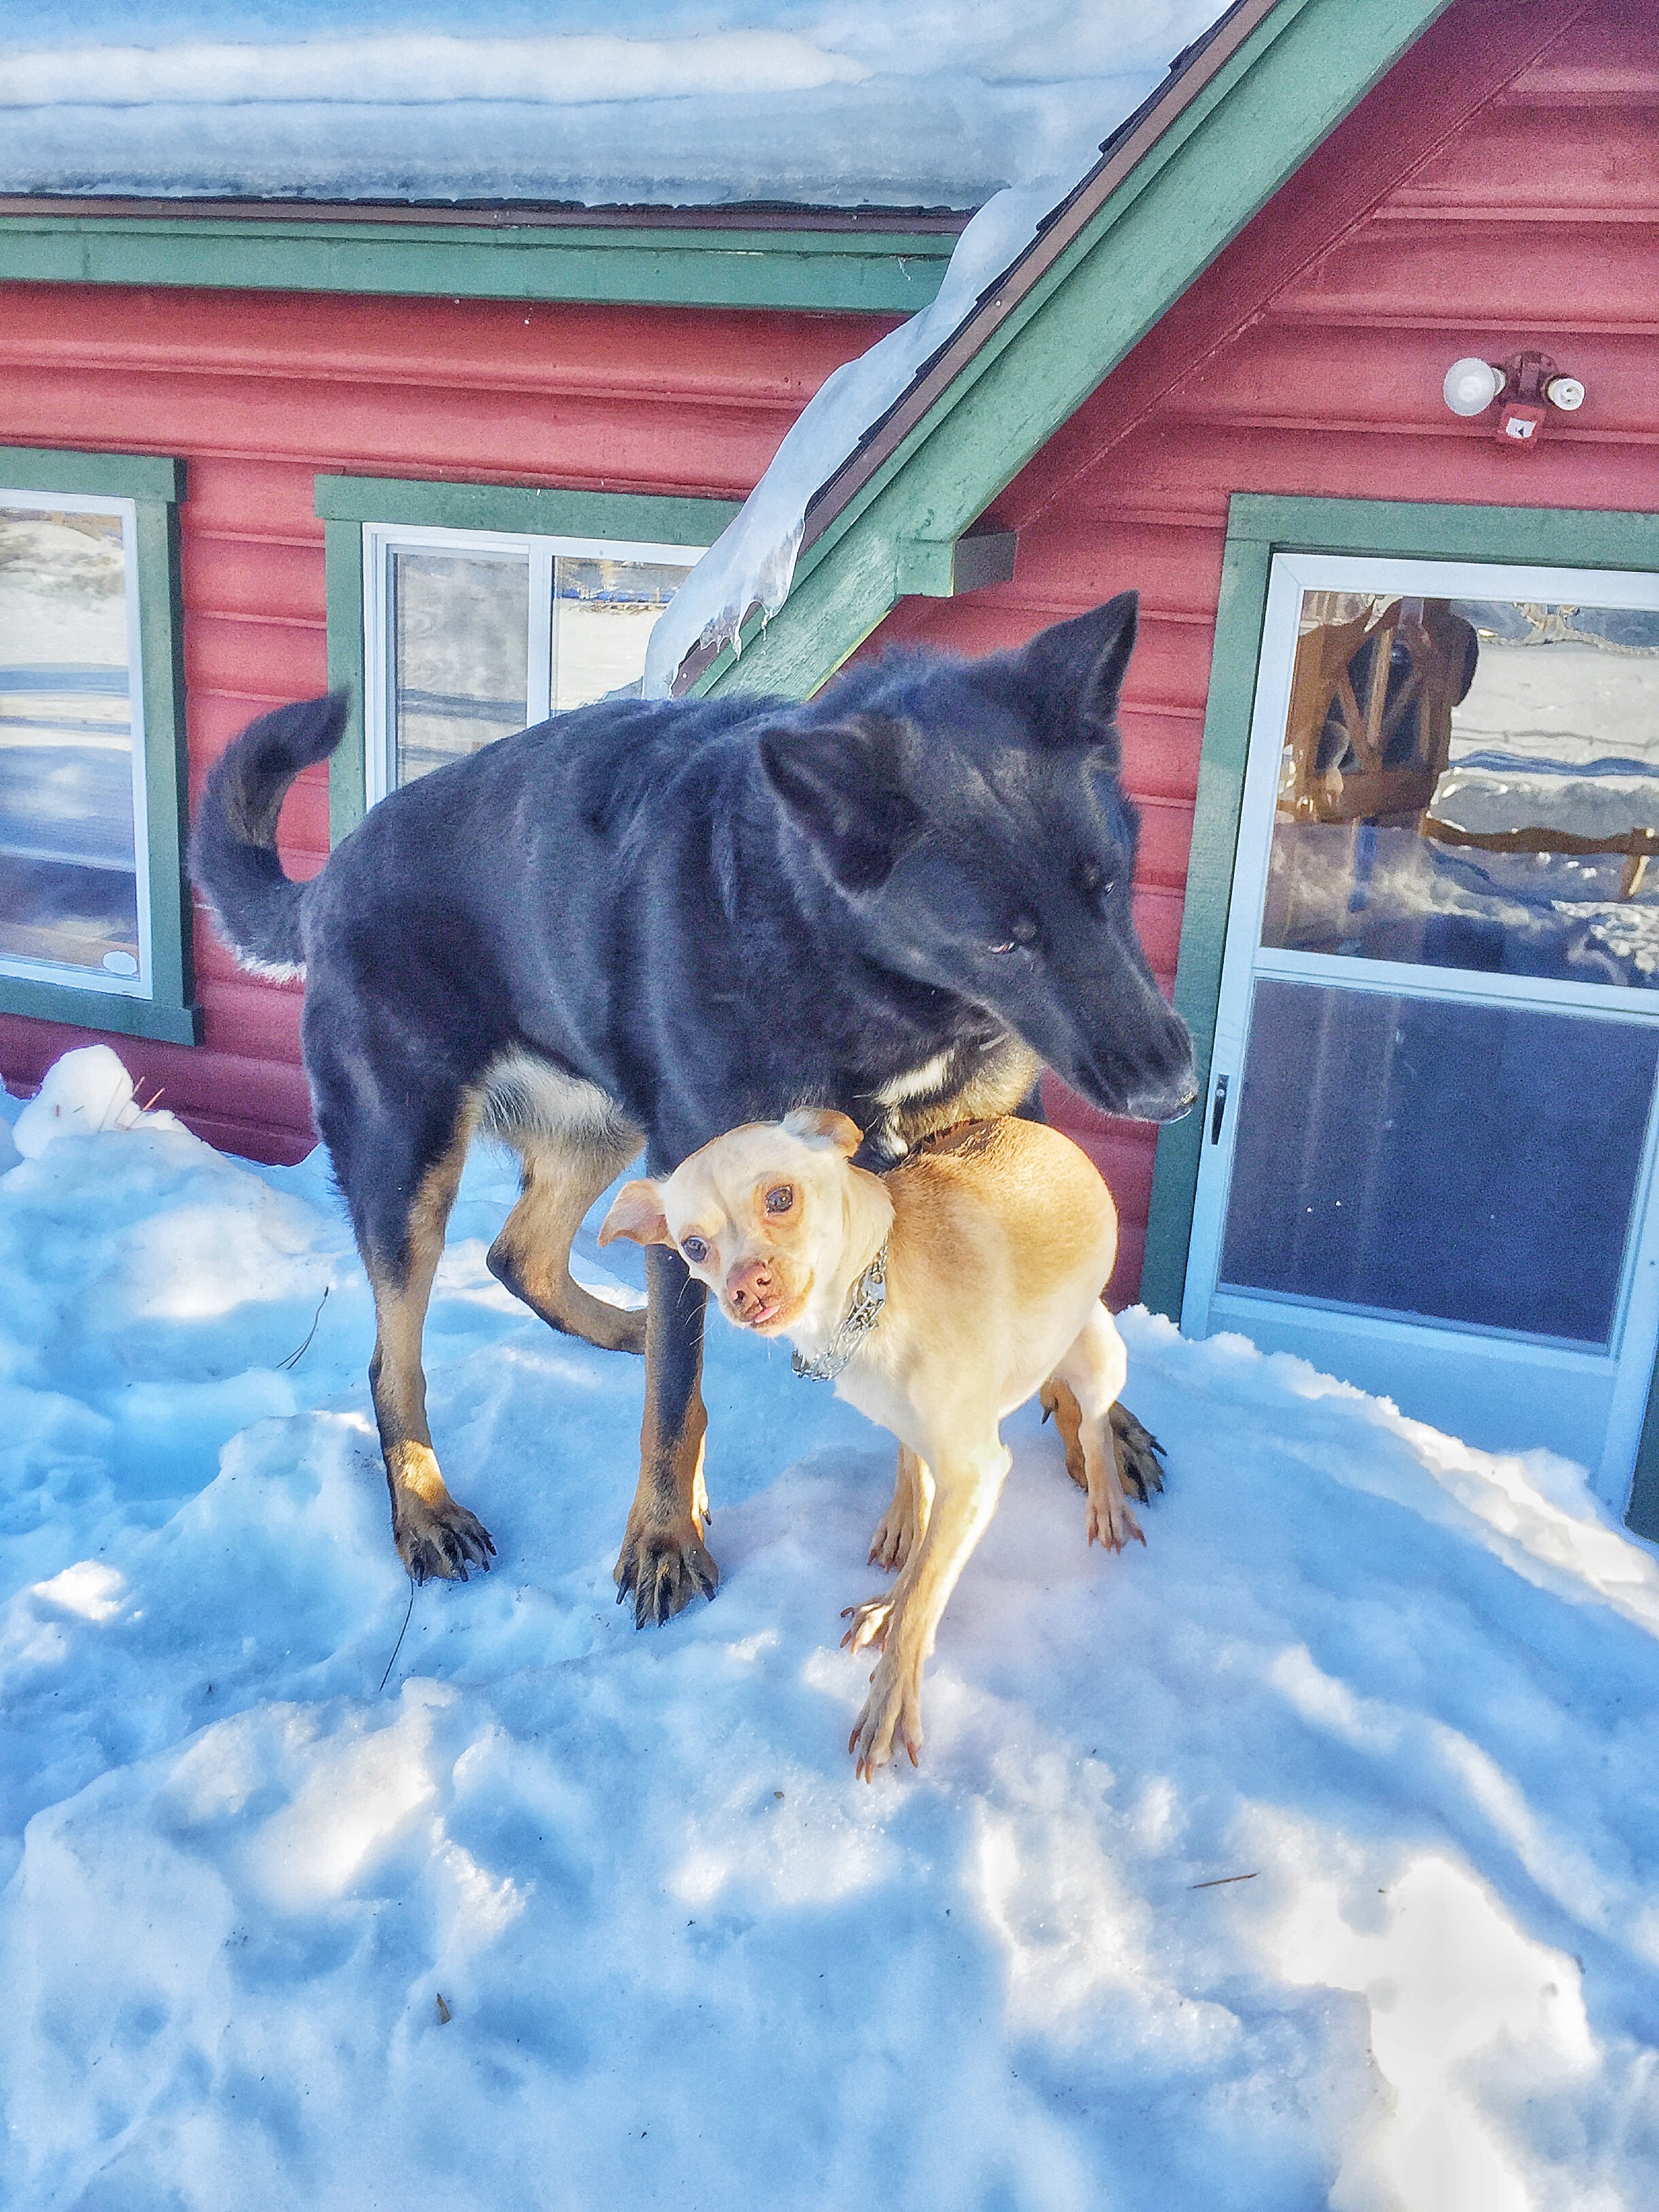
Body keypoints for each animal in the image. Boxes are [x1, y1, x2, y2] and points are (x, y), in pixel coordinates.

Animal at [190, 593, 1196, 1616]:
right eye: (1004, 943)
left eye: (1112, 885)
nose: (1179, 1090)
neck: (849, 965)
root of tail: (329, 877)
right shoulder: (695, 1171)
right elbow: (673, 1406)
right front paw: (665, 1538)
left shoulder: (1001, 1136)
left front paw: (1100, 1423)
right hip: (411, 1166)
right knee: (400, 1361)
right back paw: (428, 1511)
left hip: (604, 1125)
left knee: (526, 1258)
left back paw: (628, 1327)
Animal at [599, 1109, 1141, 1775]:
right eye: (694, 1246)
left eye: (781, 1198)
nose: (746, 1286)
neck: (870, 1298)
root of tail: (1053, 1136)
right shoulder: (940, 1461)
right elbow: (920, 1563)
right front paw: (889, 1601)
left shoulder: (976, 1472)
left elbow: (924, 1593)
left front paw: (890, 1701)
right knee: (915, 1476)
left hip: (1098, 1354)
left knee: (1093, 1426)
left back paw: (1106, 1502)